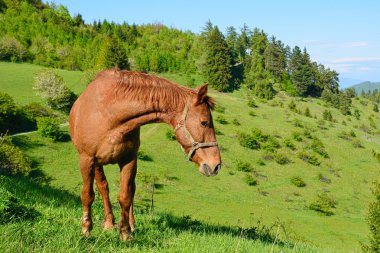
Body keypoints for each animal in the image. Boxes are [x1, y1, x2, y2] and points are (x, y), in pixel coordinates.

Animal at [70, 69, 221, 241]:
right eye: (204, 122)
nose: (216, 165)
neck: (108, 115)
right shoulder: (87, 159)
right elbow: (88, 195)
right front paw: (86, 229)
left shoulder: (129, 160)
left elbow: (125, 196)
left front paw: (125, 232)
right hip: (96, 164)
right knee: (103, 187)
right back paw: (108, 223)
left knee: (130, 190)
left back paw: (130, 224)